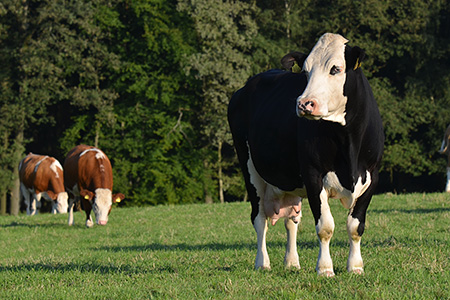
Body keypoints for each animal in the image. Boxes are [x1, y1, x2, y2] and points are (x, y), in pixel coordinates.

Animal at [229, 33, 384, 276]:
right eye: (305, 72)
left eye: (335, 69)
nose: (304, 103)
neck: (348, 141)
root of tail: (243, 89)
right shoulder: (313, 175)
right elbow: (325, 227)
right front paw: (325, 268)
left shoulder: (372, 176)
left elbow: (355, 226)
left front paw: (355, 266)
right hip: (249, 169)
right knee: (259, 218)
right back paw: (262, 262)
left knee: (292, 220)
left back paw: (292, 262)